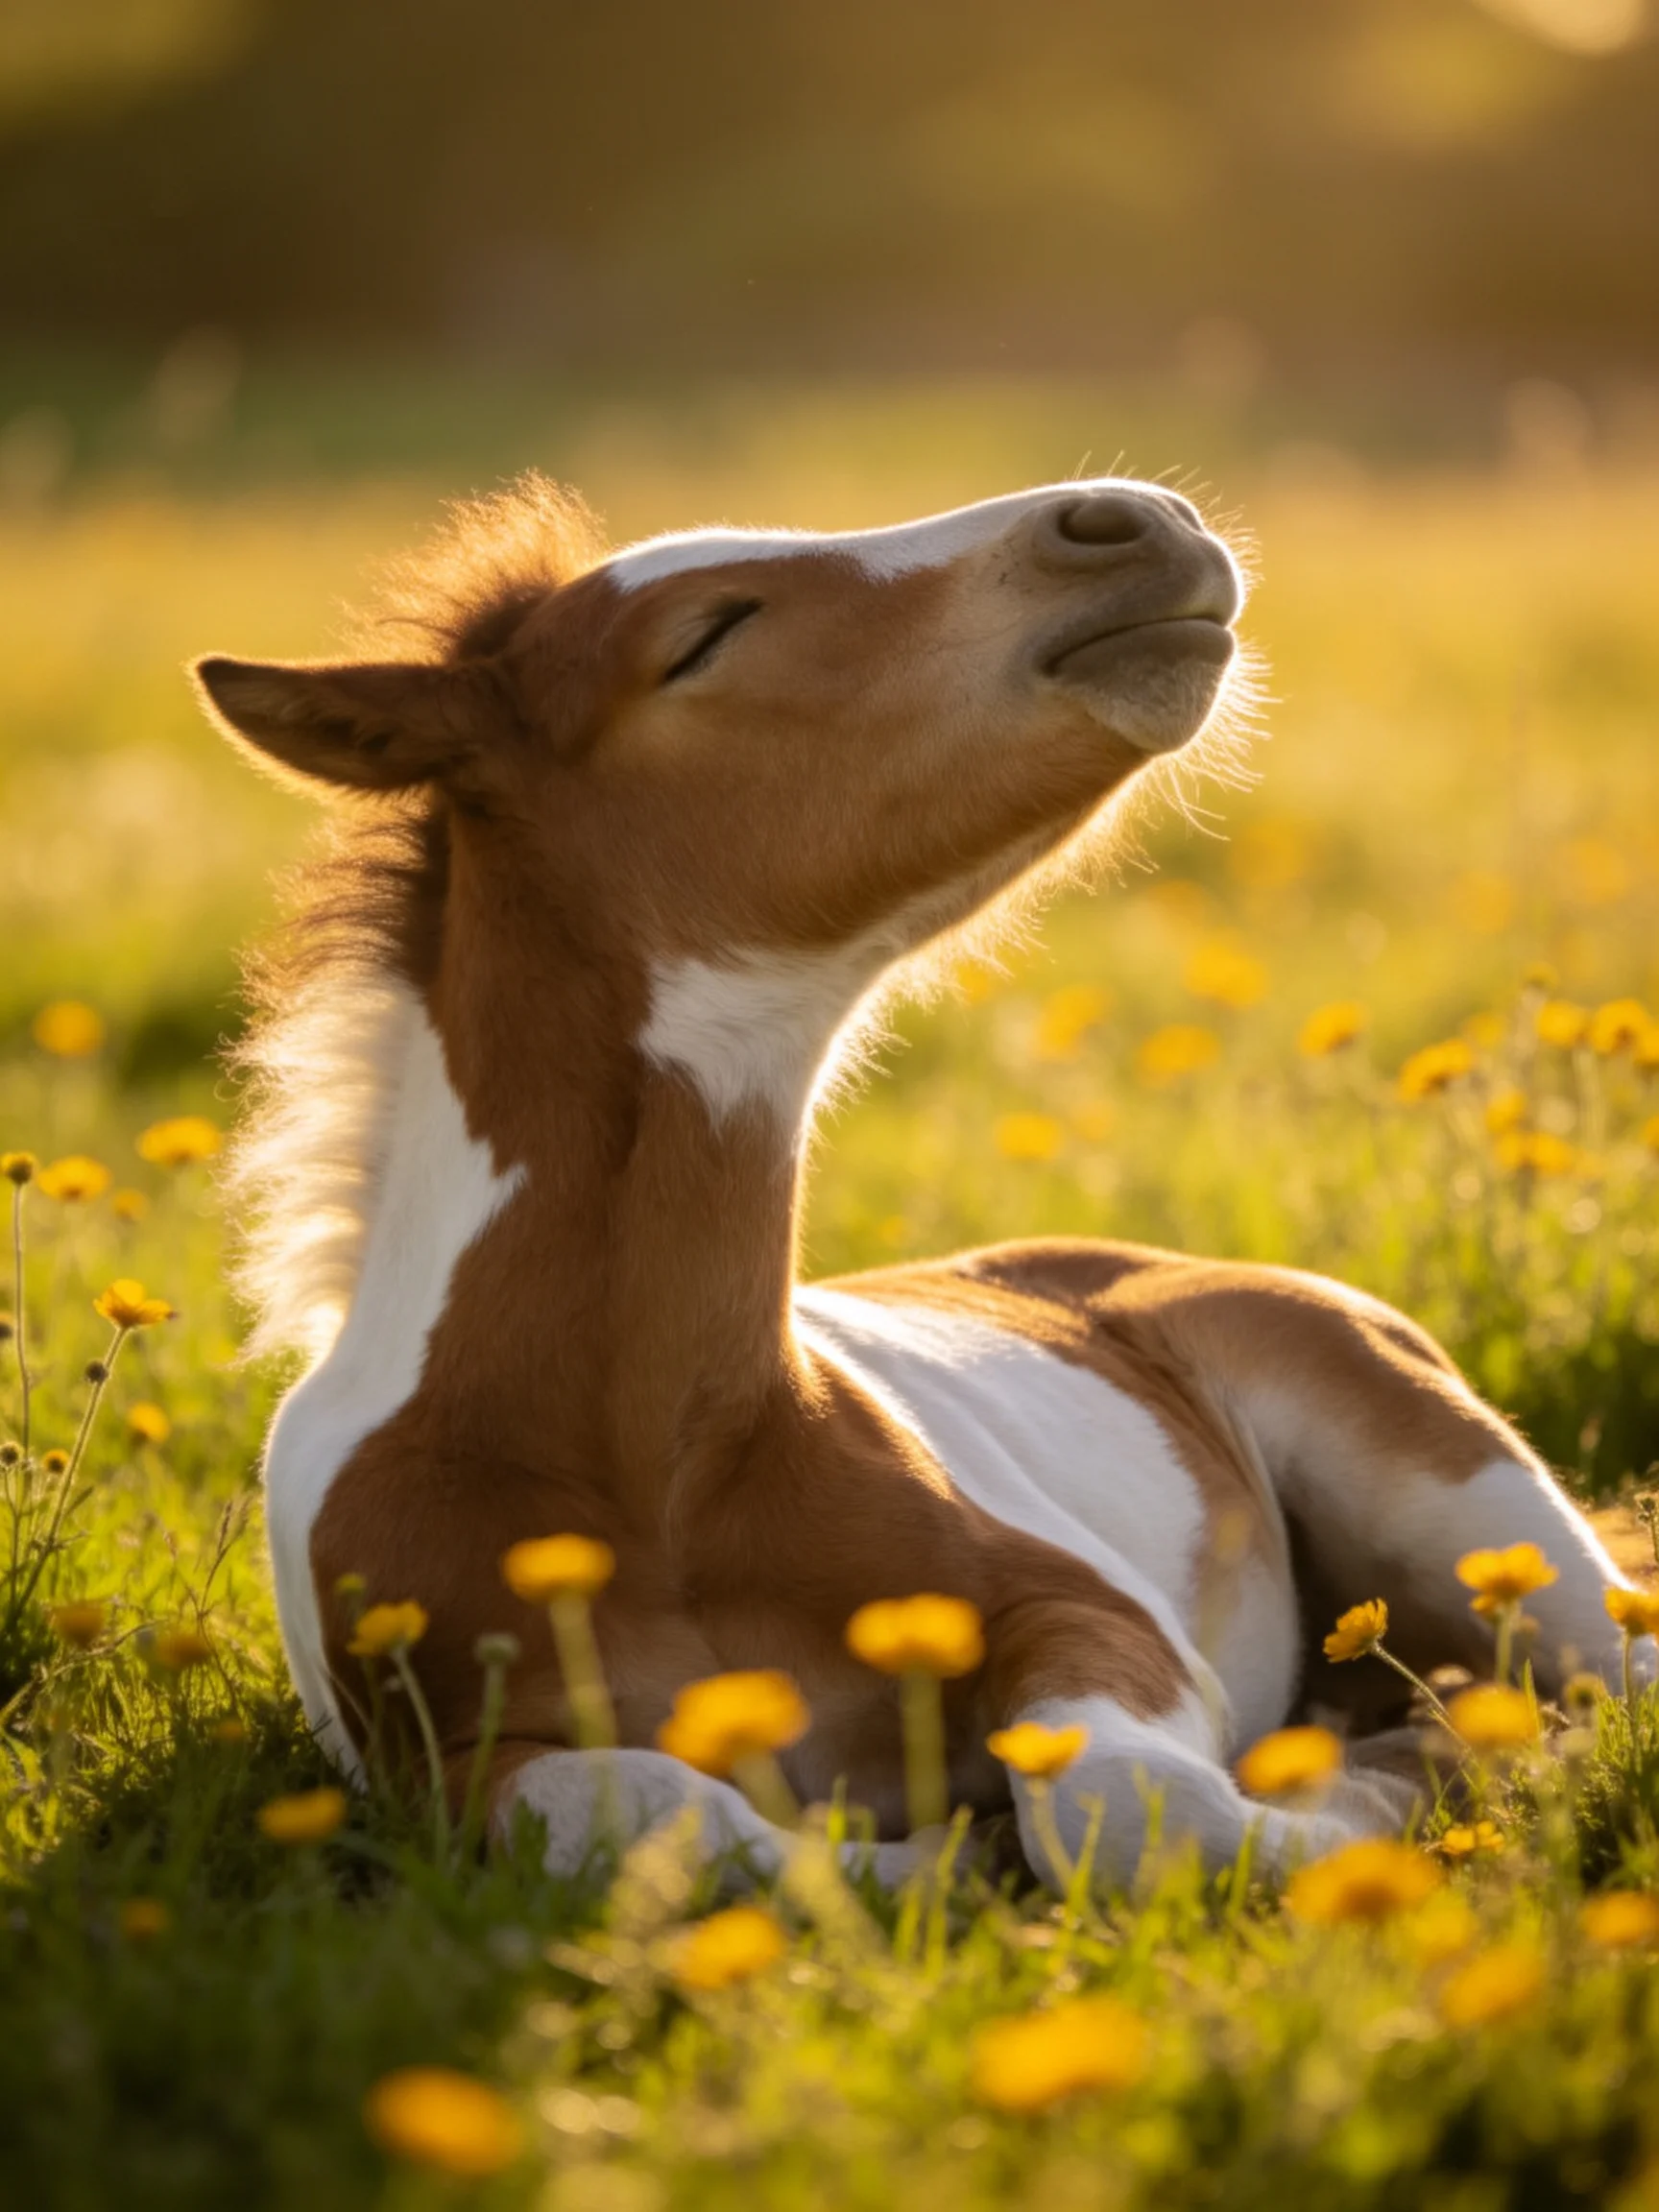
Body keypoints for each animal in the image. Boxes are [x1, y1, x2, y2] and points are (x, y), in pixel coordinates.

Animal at [192, 474, 1647, 1889]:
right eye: (704, 636)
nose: (1142, 519)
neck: (646, 1472)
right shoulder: (440, 1772)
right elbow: (673, 1826)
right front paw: (936, 1861)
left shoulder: (1084, 1612)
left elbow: (1124, 1809)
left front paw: (1379, 1781)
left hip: (1458, 1498)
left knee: (1620, 1660)